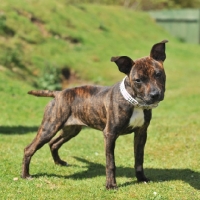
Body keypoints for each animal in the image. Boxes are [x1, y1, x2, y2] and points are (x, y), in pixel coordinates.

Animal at [21, 40, 168, 189]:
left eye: (158, 74)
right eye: (138, 80)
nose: (155, 95)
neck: (135, 102)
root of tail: (58, 93)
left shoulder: (141, 133)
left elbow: (139, 159)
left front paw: (141, 178)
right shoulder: (110, 134)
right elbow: (110, 162)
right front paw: (111, 184)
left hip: (71, 130)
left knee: (53, 143)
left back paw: (59, 162)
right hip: (50, 127)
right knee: (29, 148)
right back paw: (25, 175)